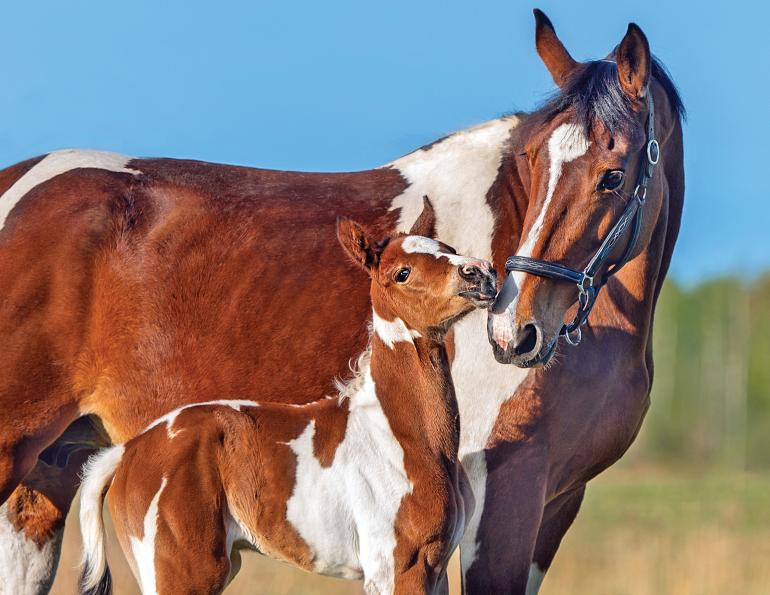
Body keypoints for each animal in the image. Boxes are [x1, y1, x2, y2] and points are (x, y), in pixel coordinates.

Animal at [78, 203, 496, 595]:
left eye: (448, 249)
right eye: (402, 273)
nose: (480, 272)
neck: (402, 434)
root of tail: (129, 451)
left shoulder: (436, 570)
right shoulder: (399, 569)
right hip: (184, 575)